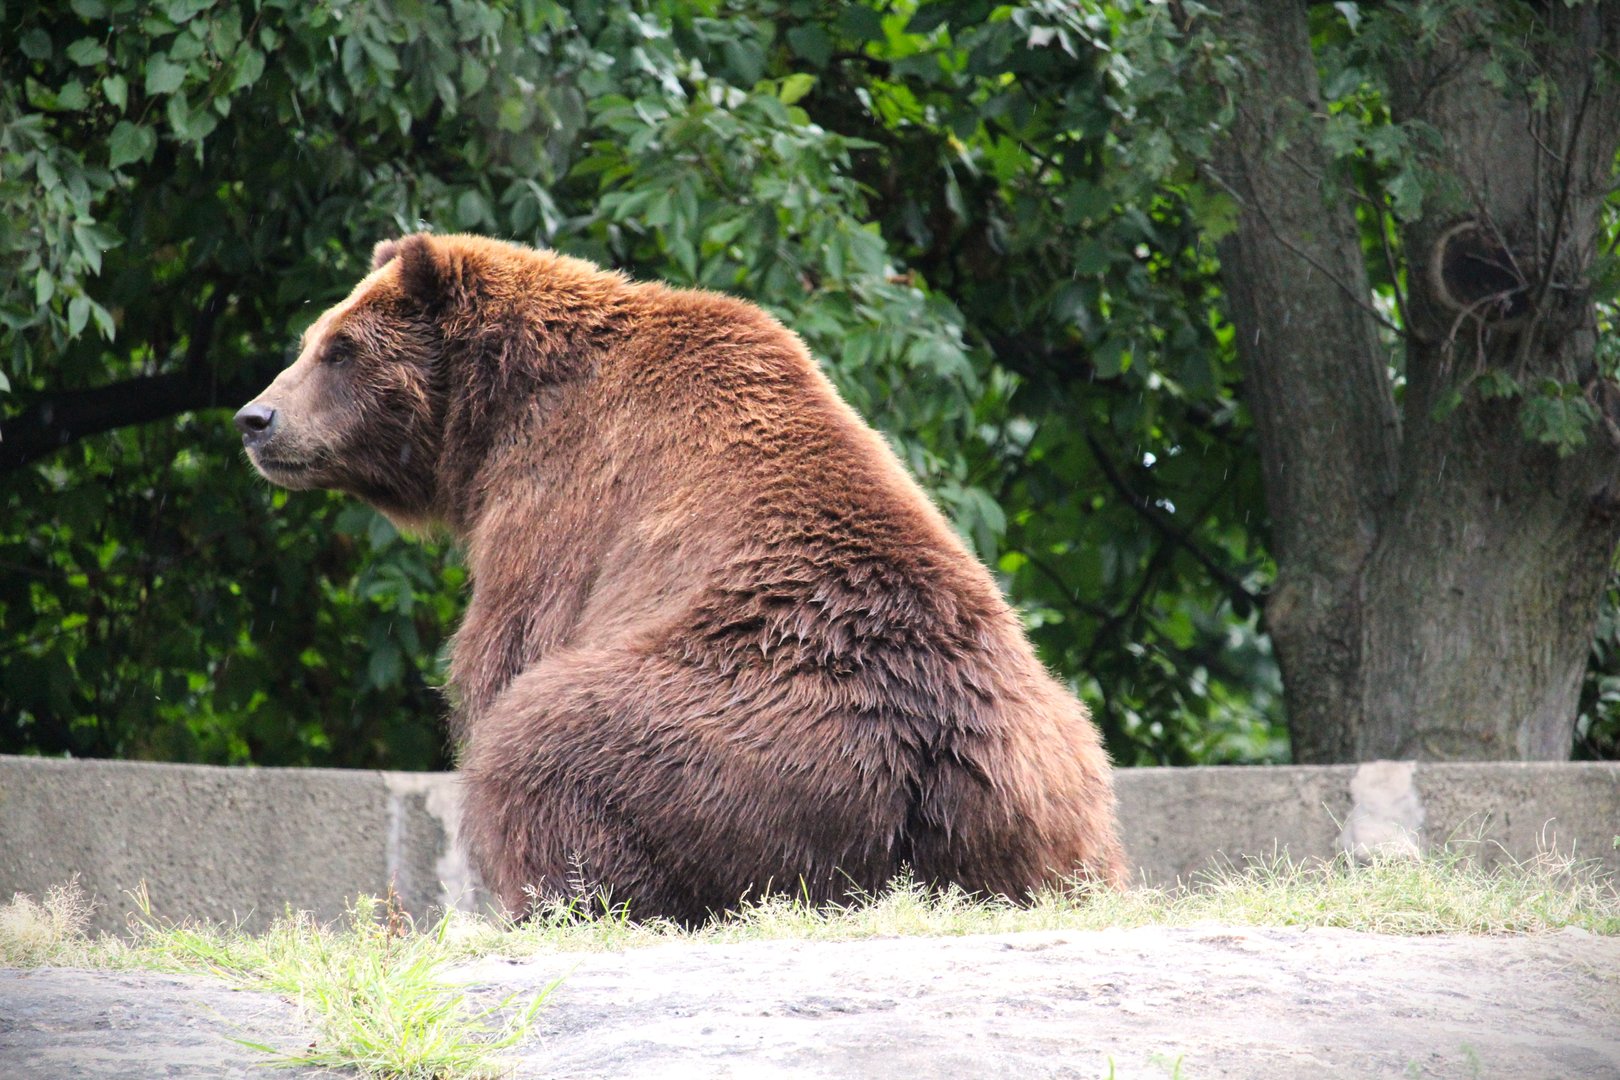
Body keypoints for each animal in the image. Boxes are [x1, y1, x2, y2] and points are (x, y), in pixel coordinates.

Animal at [235, 232, 1125, 923]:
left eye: (340, 349)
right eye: (313, 338)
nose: (255, 418)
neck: (490, 419)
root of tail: (936, 755)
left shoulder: (560, 498)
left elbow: (505, 653)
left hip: (734, 725)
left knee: (543, 740)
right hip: (1063, 787)